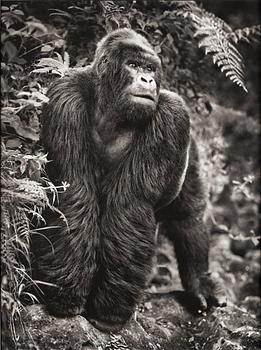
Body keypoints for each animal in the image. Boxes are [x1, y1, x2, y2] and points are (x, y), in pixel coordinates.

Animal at [35, 28, 225, 332]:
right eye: (133, 65)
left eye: (149, 68)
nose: (147, 80)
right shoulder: (65, 97)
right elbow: (74, 192)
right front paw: (65, 296)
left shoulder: (173, 115)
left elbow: (130, 207)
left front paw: (108, 312)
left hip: (190, 145)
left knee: (187, 216)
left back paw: (199, 280)